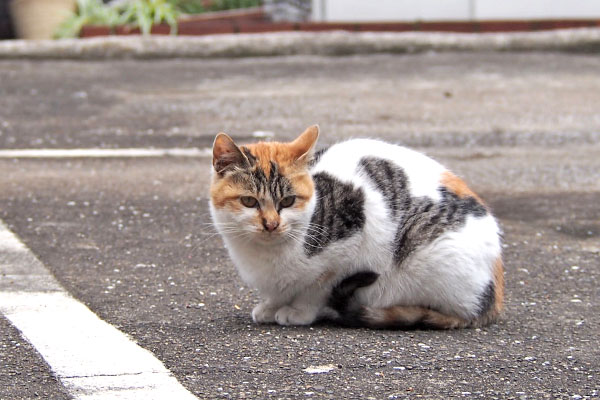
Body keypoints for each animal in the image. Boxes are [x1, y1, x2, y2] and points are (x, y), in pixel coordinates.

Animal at [209, 125, 504, 328]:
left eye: (288, 201)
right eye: (249, 201)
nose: (271, 224)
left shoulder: (350, 242)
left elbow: (317, 286)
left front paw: (299, 311)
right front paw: (270, 306)